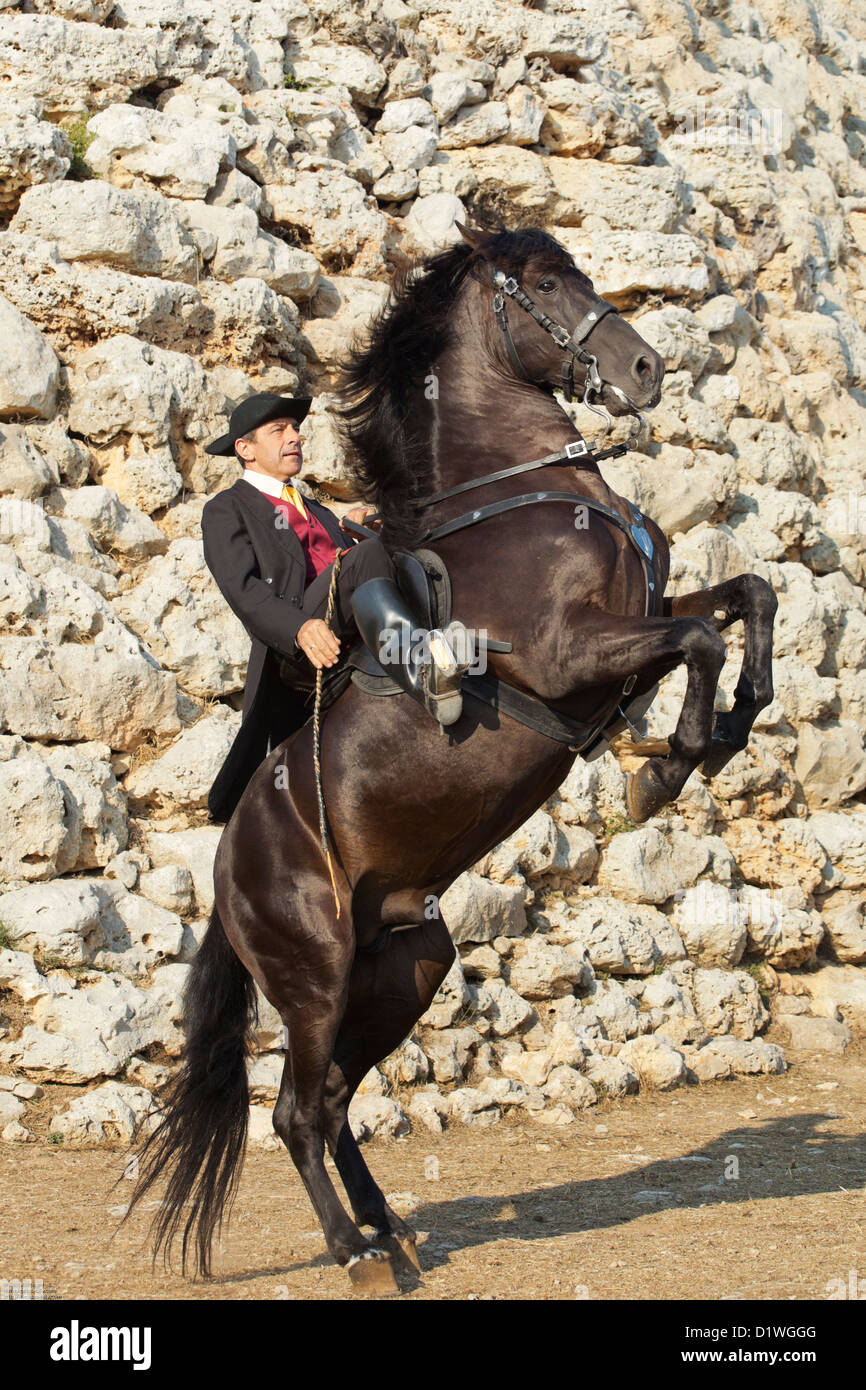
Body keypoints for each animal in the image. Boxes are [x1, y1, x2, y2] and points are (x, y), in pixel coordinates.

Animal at [127, 219, 778, 1289]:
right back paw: (354, 1253)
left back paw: (392, 1231)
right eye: (544, 286)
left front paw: (731, 730)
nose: (644, 369)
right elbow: (702, 641)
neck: (527, 492)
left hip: (406, 965)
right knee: (296, 1113)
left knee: (335, 1101)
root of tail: (225, 870)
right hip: (314, 973)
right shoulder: (567, 656)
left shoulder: (635, 623)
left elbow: (747, 602)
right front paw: (667, 768)